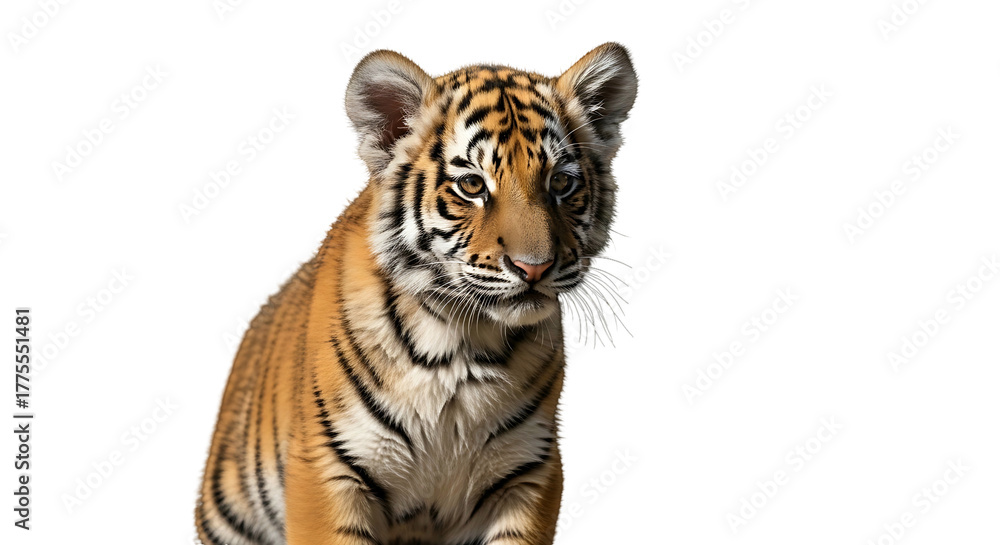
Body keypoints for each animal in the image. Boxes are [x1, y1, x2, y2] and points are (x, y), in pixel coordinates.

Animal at [195, 42, 637, 545]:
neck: (463, 343)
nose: (534, 267)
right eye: (472, 185)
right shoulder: (328, 470)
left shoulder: (528, 473)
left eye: (561, 183)